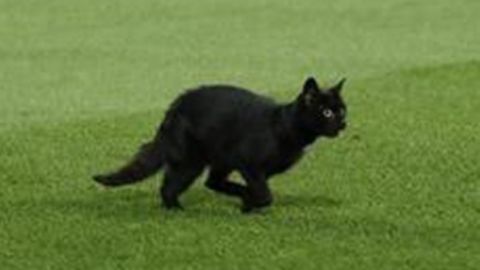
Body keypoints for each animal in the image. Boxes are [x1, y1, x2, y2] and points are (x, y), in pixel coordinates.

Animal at [94, 76, 346, 213]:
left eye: (342, 110)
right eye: (326, 112)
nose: (343, 123)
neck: (283, 125)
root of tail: (173, 108)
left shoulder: (254, 170)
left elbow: (258, 190)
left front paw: (247, 205)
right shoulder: (250, 165)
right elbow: (265, 194)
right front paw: (250, 203)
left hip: (217, 159)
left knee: (210, 182)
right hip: (191, 161)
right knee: (170, 187)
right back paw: (177, 210)